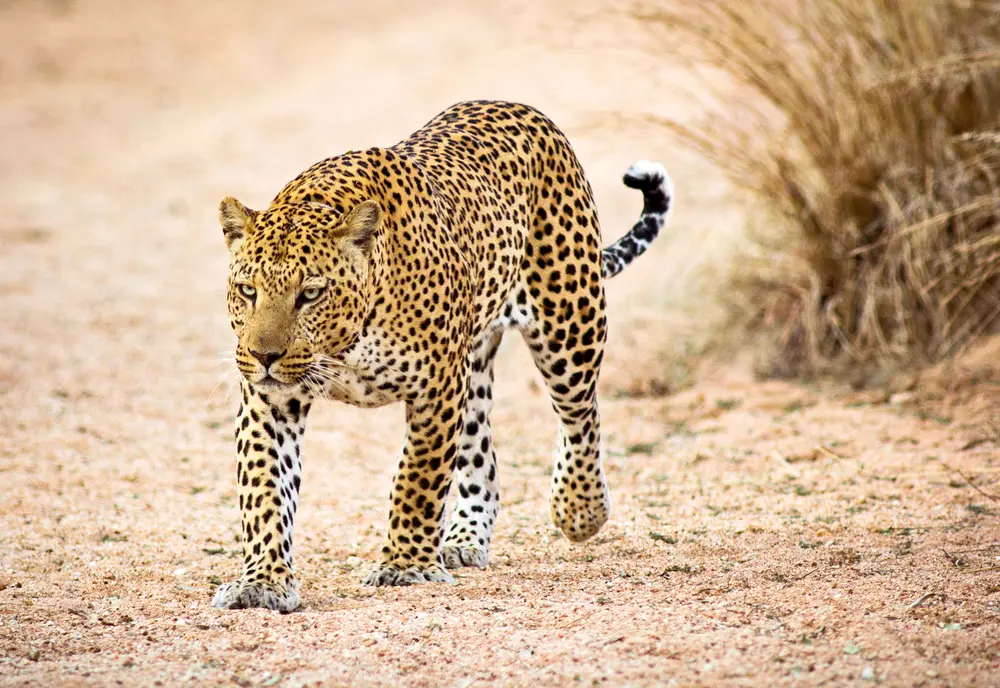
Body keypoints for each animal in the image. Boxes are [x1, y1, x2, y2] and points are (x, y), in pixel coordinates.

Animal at [210, 100, 674, 612]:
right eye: (247, 290)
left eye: (310, 294)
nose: (264, 354)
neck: (345, 342)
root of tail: (519, 107)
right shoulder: (271, 400)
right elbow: (265, 489)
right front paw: (262, 582)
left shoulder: (436, 388)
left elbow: (418, 479)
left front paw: (405, 565)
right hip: (475, 366)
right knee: (483, 458)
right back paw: (465, 537)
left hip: (569, 324)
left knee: (580, 414)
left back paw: (580, 508)